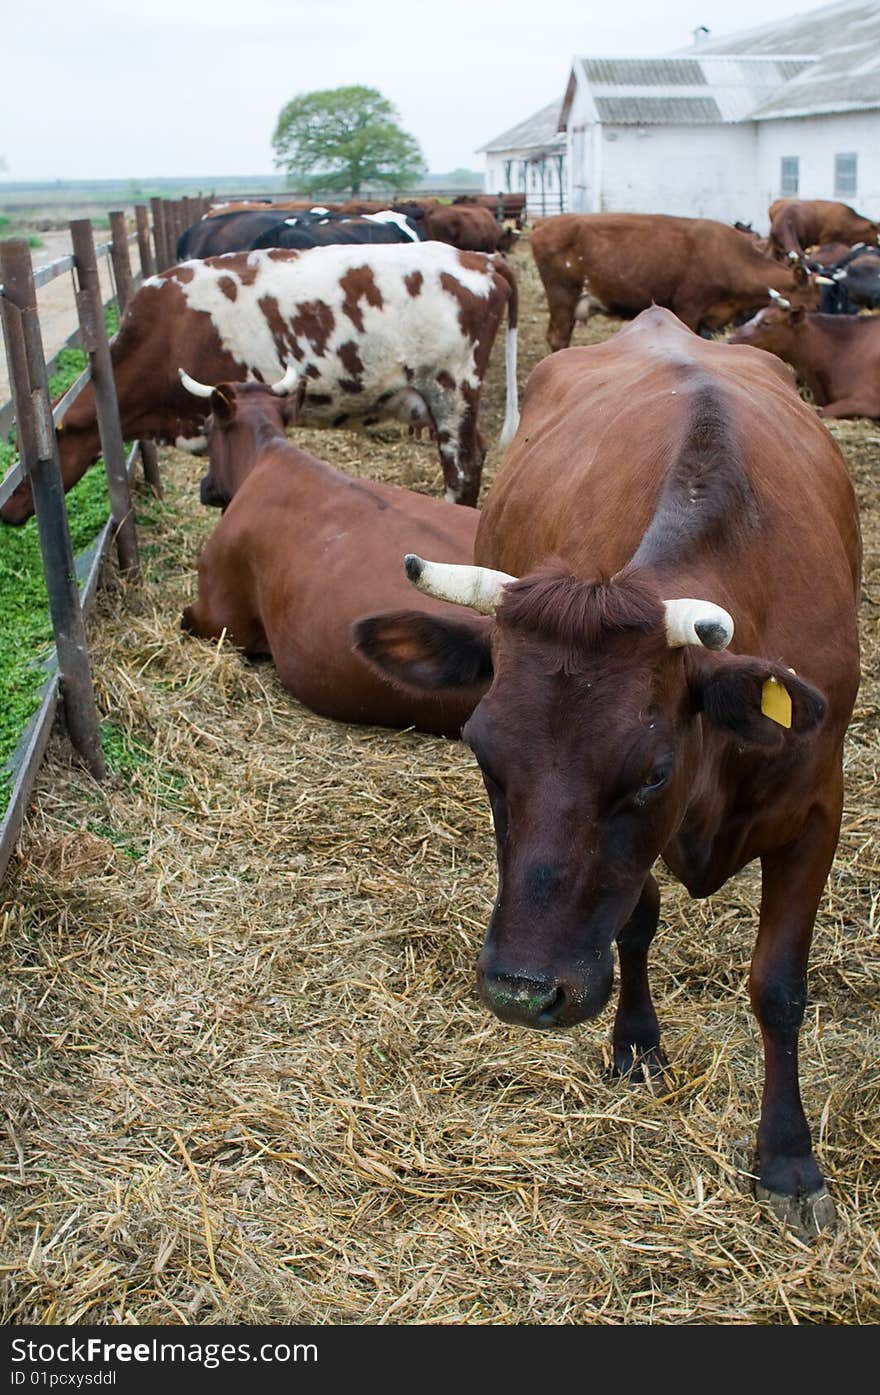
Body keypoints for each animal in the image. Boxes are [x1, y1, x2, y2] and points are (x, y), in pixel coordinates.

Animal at [354, 305, 864, 1244]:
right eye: (483, 753)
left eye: (654, 771)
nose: (522, 991)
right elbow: (635, 922)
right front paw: (635, 1041)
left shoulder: (819, 808)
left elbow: (779, 986)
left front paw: (787, 1158)